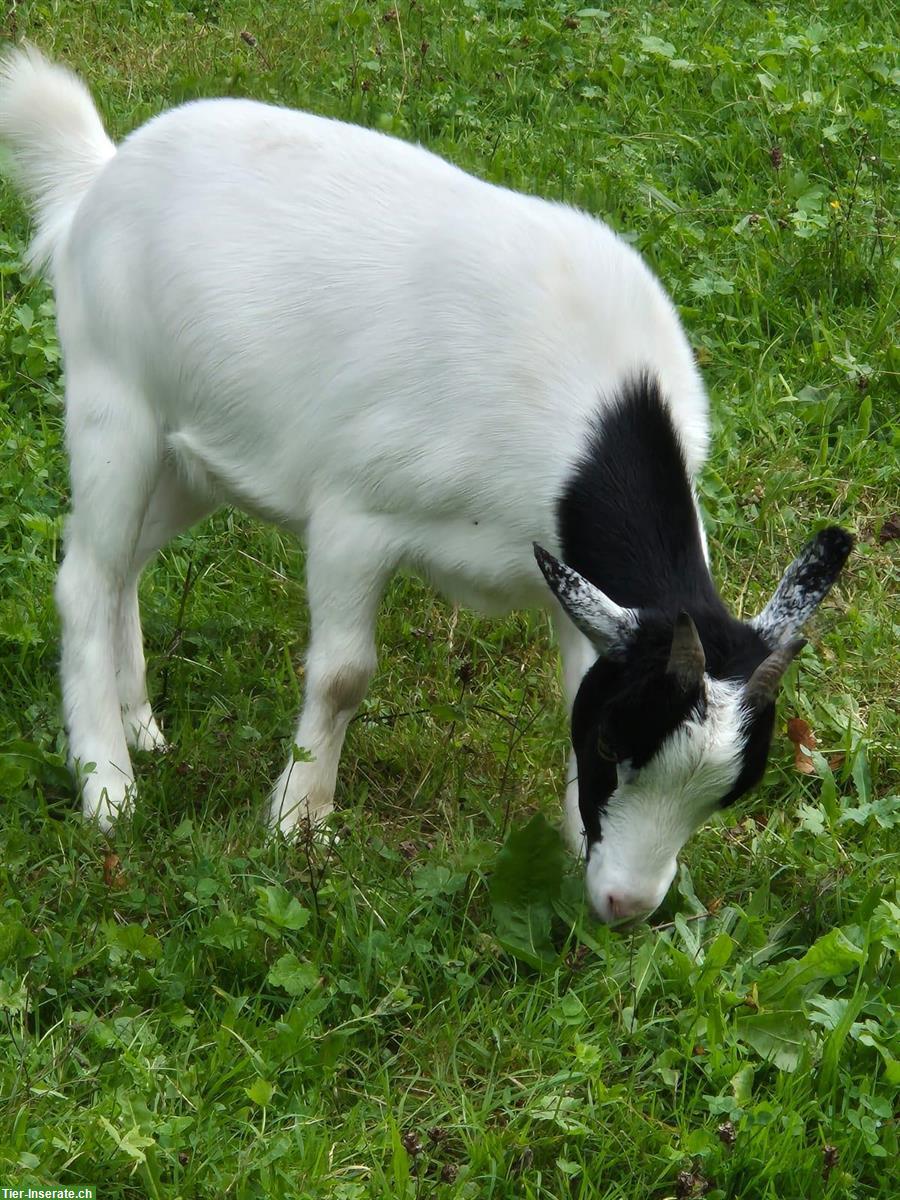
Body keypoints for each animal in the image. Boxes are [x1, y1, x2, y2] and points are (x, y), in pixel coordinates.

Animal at [1, 46, 854, 921]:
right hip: (114, 401)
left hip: (192, 455)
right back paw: (109, 786)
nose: (626, 906)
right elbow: (343, 675)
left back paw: (139, 723)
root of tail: (102, 172)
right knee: (85, 578)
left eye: (731, 791)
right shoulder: (354, 515)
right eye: (614, 743)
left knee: (124, 565)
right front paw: (298, 825)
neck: (593, 407)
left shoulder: (572, 585)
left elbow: (570, 680)